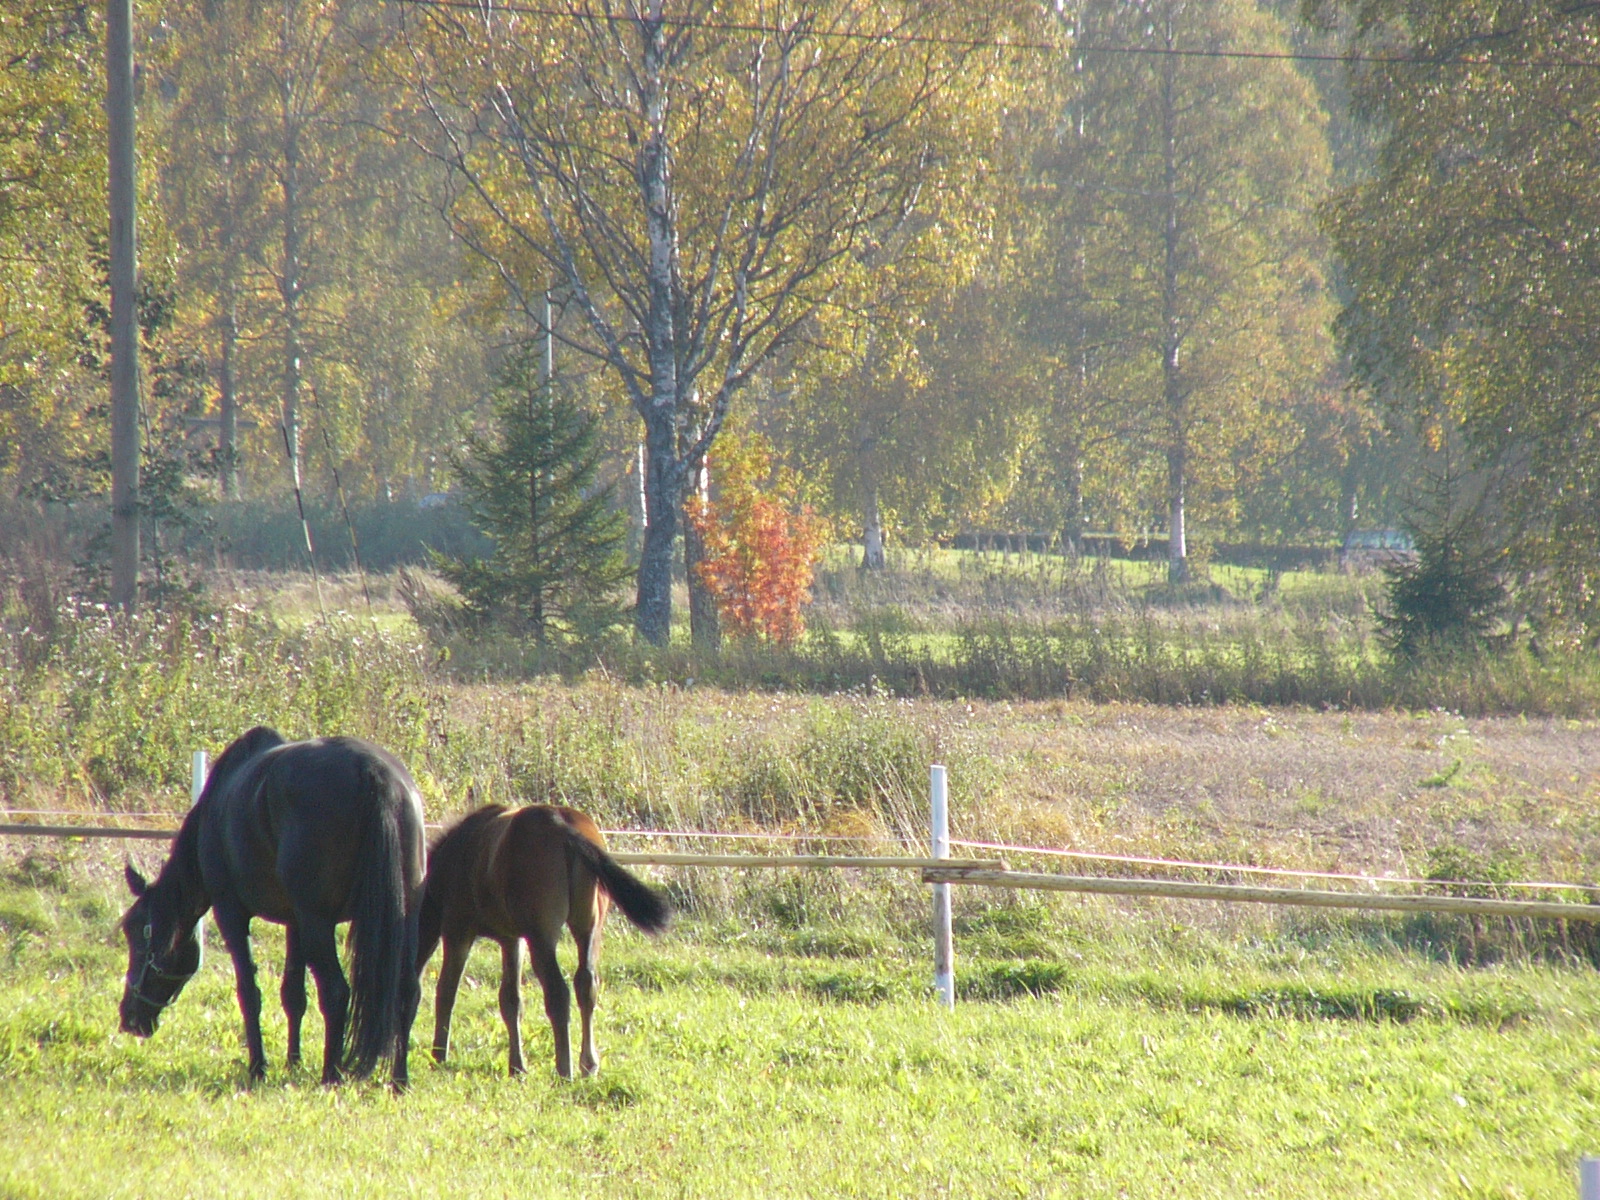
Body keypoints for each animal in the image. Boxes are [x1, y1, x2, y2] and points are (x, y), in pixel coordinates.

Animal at [119, 725, 425, 1089]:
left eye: (136, 933)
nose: (129, 1018)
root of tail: (373, 772)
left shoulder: (232, 914)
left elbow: (249, 992)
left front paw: (258, 1066)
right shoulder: (295, 922)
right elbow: (293, 994)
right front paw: (293, 1062)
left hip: (319, 924)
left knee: (336, 992)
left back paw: (331, 1075)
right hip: (402, 917)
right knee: (407, 991)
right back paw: (399, 1080)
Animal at [418, 803, 672, 1079]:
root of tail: (560, 822)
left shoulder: (457, 931)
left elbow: (446, 991)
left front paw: (438, 1056)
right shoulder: (512, 940)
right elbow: (511, 1000)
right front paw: (517, 1066)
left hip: (542, 937)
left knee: (558, 993)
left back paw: (564, 1070)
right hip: (588, 928)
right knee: (586, 984)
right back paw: (588, 1064)